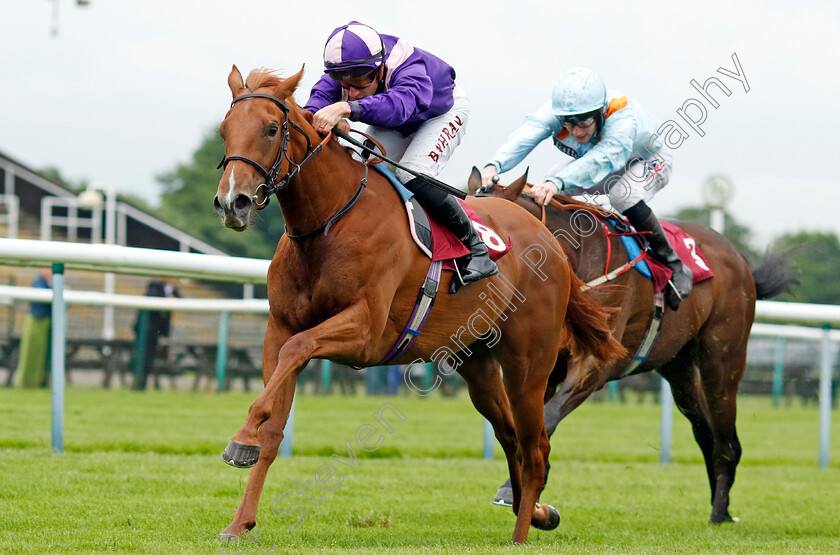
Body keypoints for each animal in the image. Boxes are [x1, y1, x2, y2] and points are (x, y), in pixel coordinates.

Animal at [213, 66, 628, 548]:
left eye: (271, 128)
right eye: (224, 130)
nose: (232, 202)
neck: (329, 222)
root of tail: (553, 245)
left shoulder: (365, 331)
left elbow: (297, 352)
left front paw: (241, 437)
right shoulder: (278, 328)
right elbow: (275, 420)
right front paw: (240, 519)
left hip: (529, 364)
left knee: (535, 446)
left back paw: (521, 534)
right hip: (478, 364)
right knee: (510, 436)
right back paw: (539, 512)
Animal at [470, 169, 796, 524]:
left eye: (489, 235)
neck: (575, 261)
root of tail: (739, 259)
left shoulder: (595, 365)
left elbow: (550, 416)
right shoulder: (546, 367)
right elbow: (533, 422)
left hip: (722, 361)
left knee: (727, 443)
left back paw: (720, 513)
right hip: (680, 370)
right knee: (706, 434)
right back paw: (718, 507)